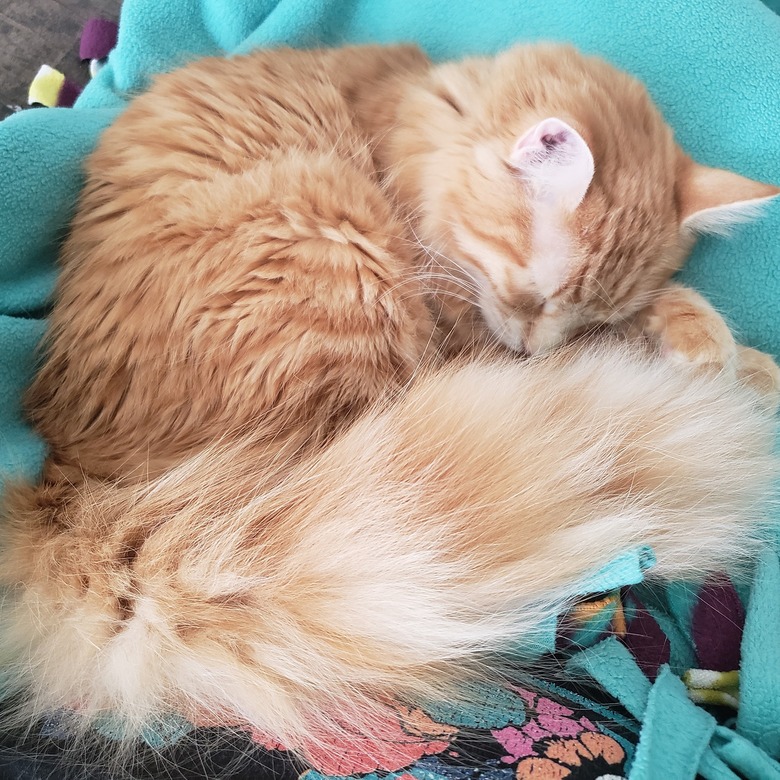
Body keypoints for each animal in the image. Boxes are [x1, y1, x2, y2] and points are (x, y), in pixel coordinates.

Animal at [0, 42, 776, 760]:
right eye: (533, 297)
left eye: (585, 313)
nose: (537, 349)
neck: (411, 119)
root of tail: (73, 479)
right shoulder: (461, 321)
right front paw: (718, 352)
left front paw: (720, 350)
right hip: (341, 246)